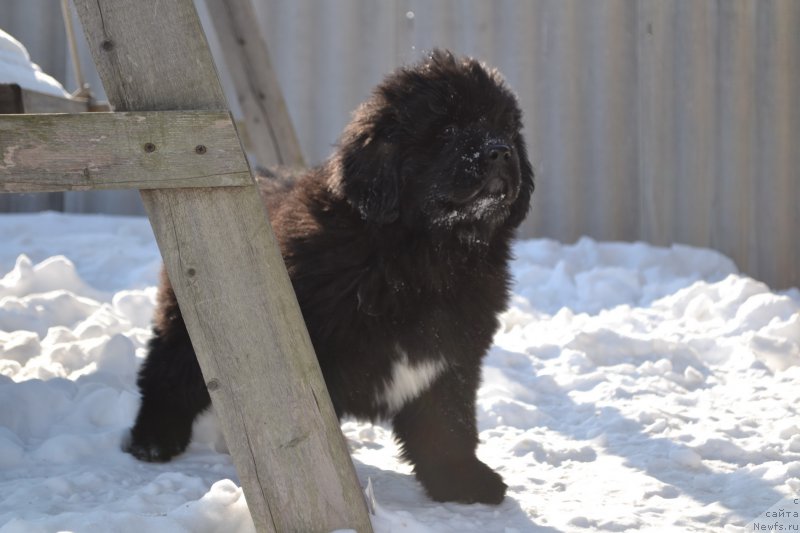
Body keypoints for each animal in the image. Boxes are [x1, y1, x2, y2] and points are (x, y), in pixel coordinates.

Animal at [125, 48, 536, 502]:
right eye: (447, 130)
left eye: (505, 128)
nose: (500, 151)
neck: (422, 258)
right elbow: (310, 433)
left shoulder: (452, 357)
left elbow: (449, 423)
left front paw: (461, 479)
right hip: (188, 326)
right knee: (166, 373)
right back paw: (153, 440)